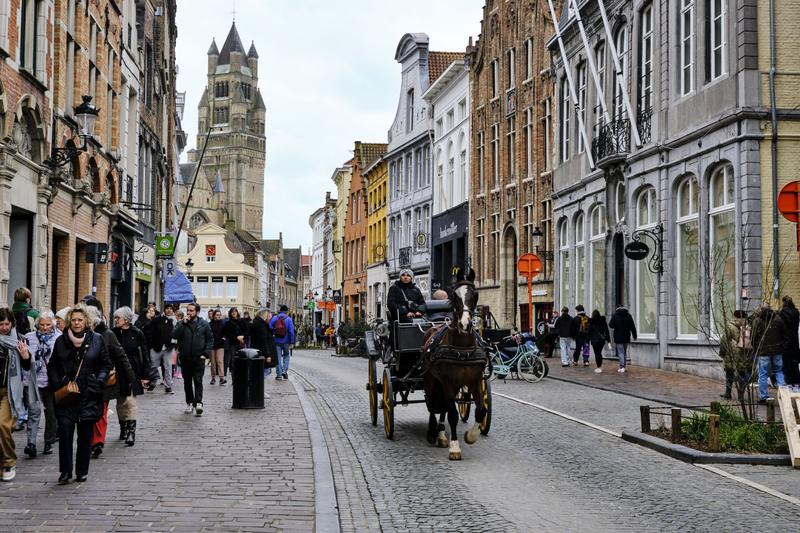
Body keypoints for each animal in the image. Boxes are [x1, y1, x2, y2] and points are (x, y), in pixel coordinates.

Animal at [422, 268, 490, 460]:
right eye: (455, 294)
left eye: (475, 294)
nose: (465, 323)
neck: (462, 348)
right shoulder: (448, 381)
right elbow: (452, 414)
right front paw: (454, 447)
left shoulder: (475, 380)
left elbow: (481, 410)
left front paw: (471, 436)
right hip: (431, 380)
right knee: (433, 404)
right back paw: (433, 433)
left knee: (442, 405)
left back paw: (441, 435)